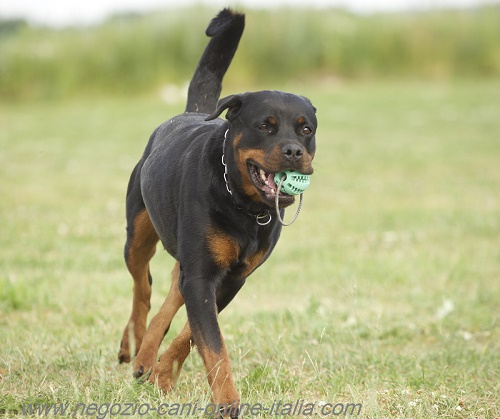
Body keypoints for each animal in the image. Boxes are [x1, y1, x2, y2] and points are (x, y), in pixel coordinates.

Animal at [118, 8, 316, 418]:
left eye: (306, 130)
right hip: (137, 233)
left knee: (168, 296)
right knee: (142, 286)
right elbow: (212, 343)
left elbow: (194, 336)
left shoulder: (231, 277)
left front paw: (164, 374)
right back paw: (136, 346)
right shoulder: (201, 276)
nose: (293, 151)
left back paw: (148, 357)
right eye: (265, 126)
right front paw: (227, 402)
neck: (244, 207)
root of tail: (188, 113)